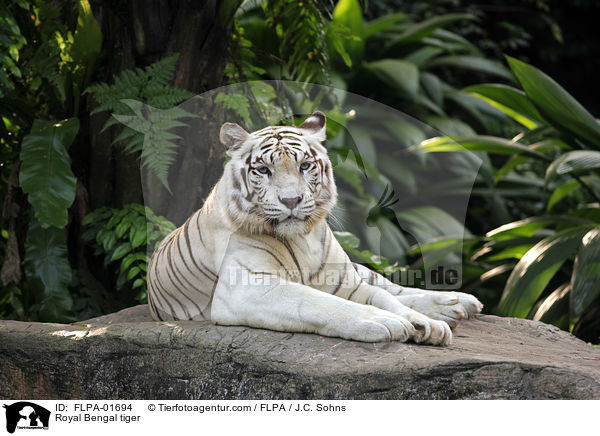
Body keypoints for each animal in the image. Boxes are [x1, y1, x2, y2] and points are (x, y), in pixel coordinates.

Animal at [146, 110, 482, 346]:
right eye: (263, 170)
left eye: (305, 166)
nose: (291, 200)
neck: (303, 238)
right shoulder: (247, 288)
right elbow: (321, 303)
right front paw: (387, 323)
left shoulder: (347, 281)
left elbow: (384, 296)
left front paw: (427, 325)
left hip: (352, 270)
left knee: (389, 285)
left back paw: (455, 304)